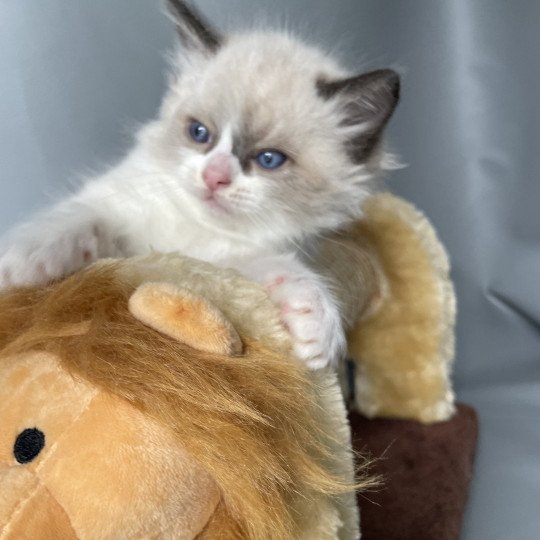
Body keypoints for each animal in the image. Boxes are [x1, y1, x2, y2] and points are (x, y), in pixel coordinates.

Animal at [0, 0, 398, 370]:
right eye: (199, 133)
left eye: (269, 159)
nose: (214, 177)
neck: (193, 230)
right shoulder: (122, 214)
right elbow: (76, 220)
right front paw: (21, 267)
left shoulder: (223, 262)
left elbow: (287, 271)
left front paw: (315, 327)